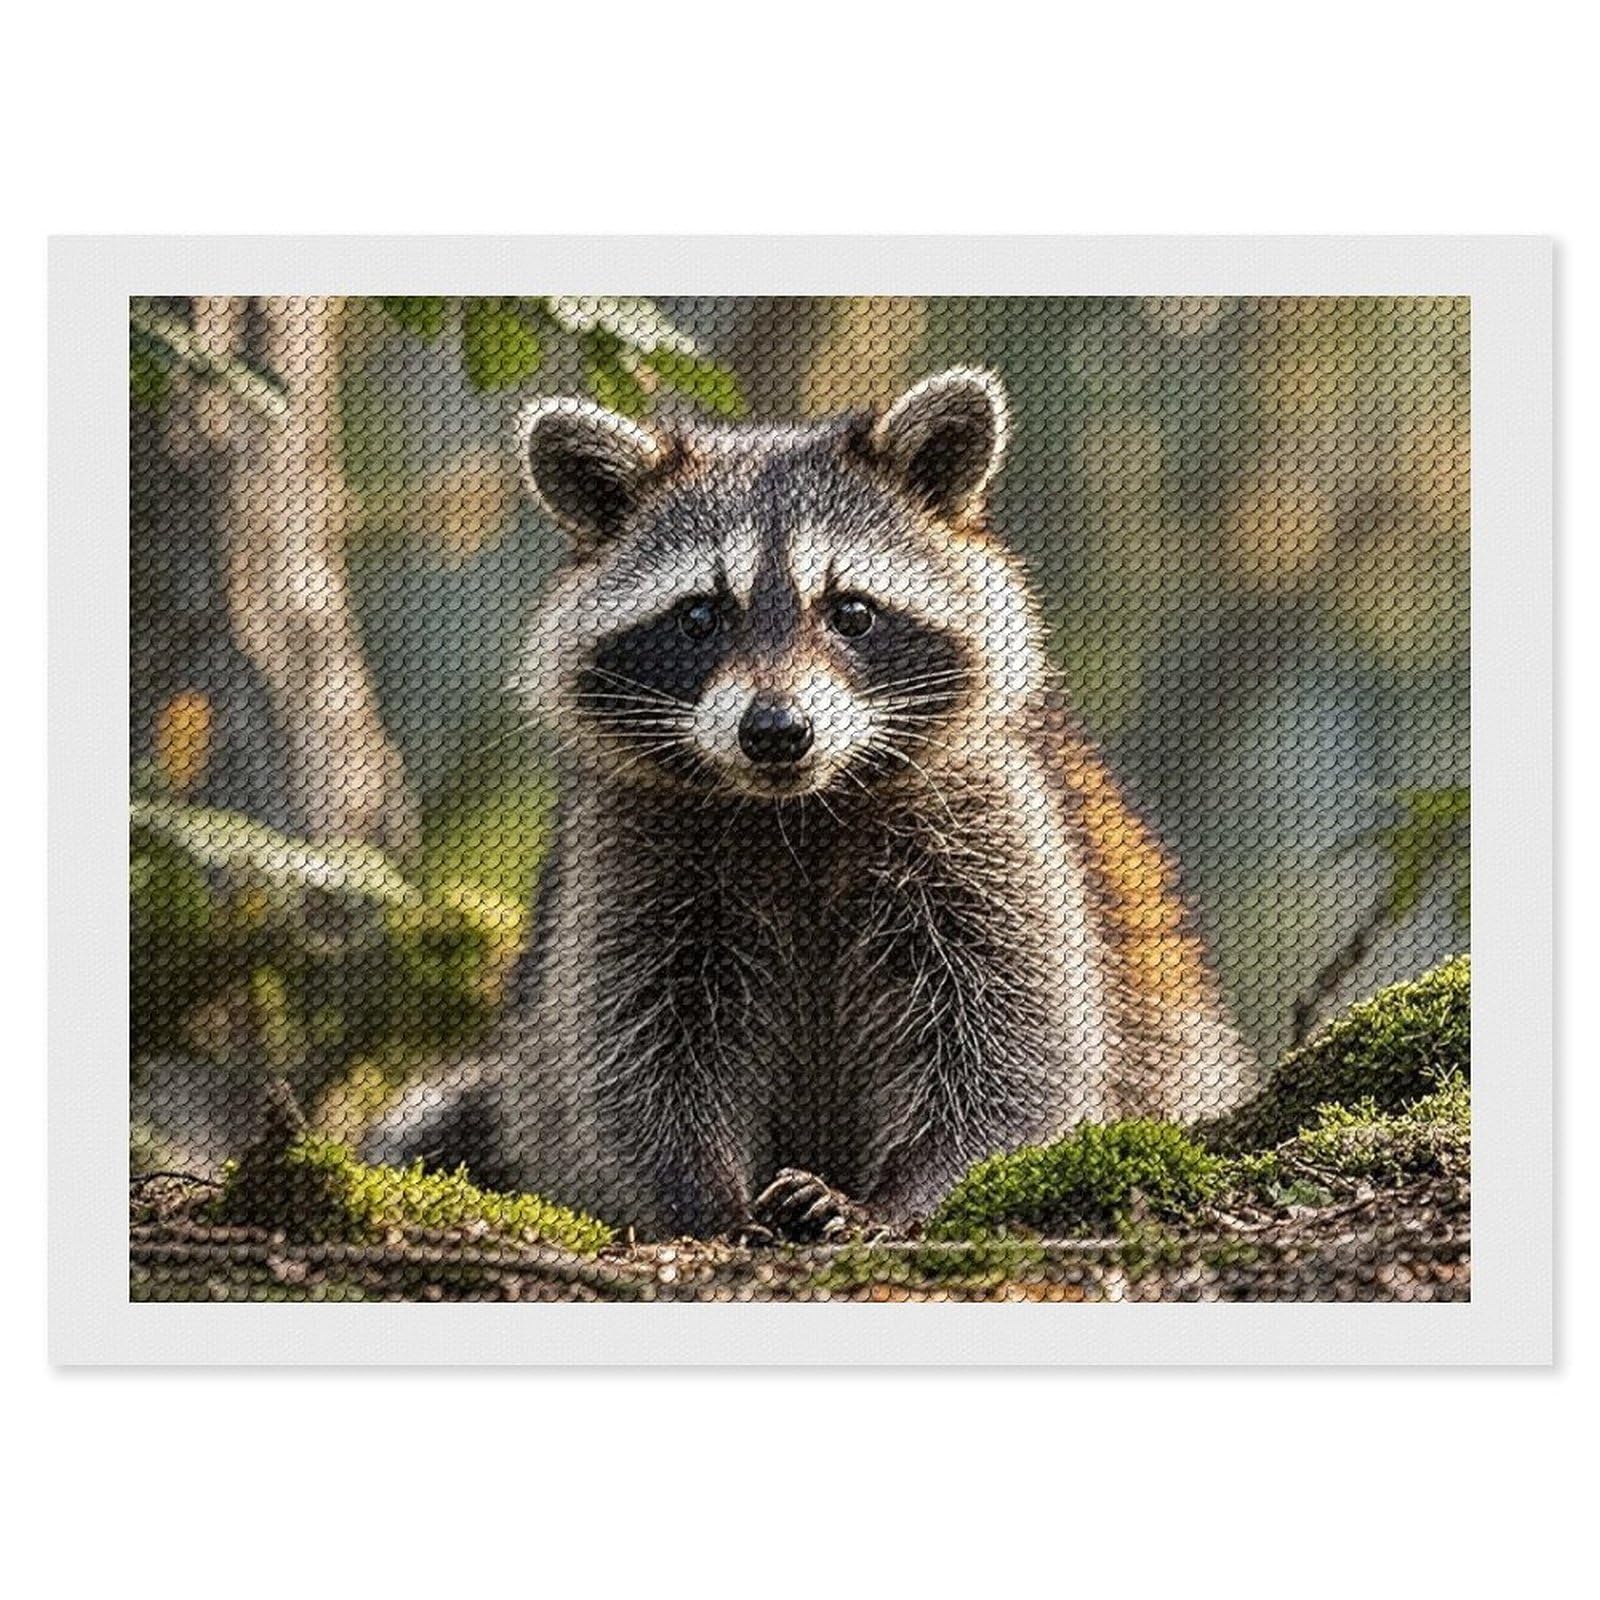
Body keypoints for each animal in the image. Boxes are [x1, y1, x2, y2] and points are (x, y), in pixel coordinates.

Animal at [366, 368, 1253, 1239]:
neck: (798, 812)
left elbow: (1012, 1044)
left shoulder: (995, 819)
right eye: (699, 616)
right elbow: (635, 1051)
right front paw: (701, 1196)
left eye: (852, 611)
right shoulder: (632, 849)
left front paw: (905, 1194)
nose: (776, 731)